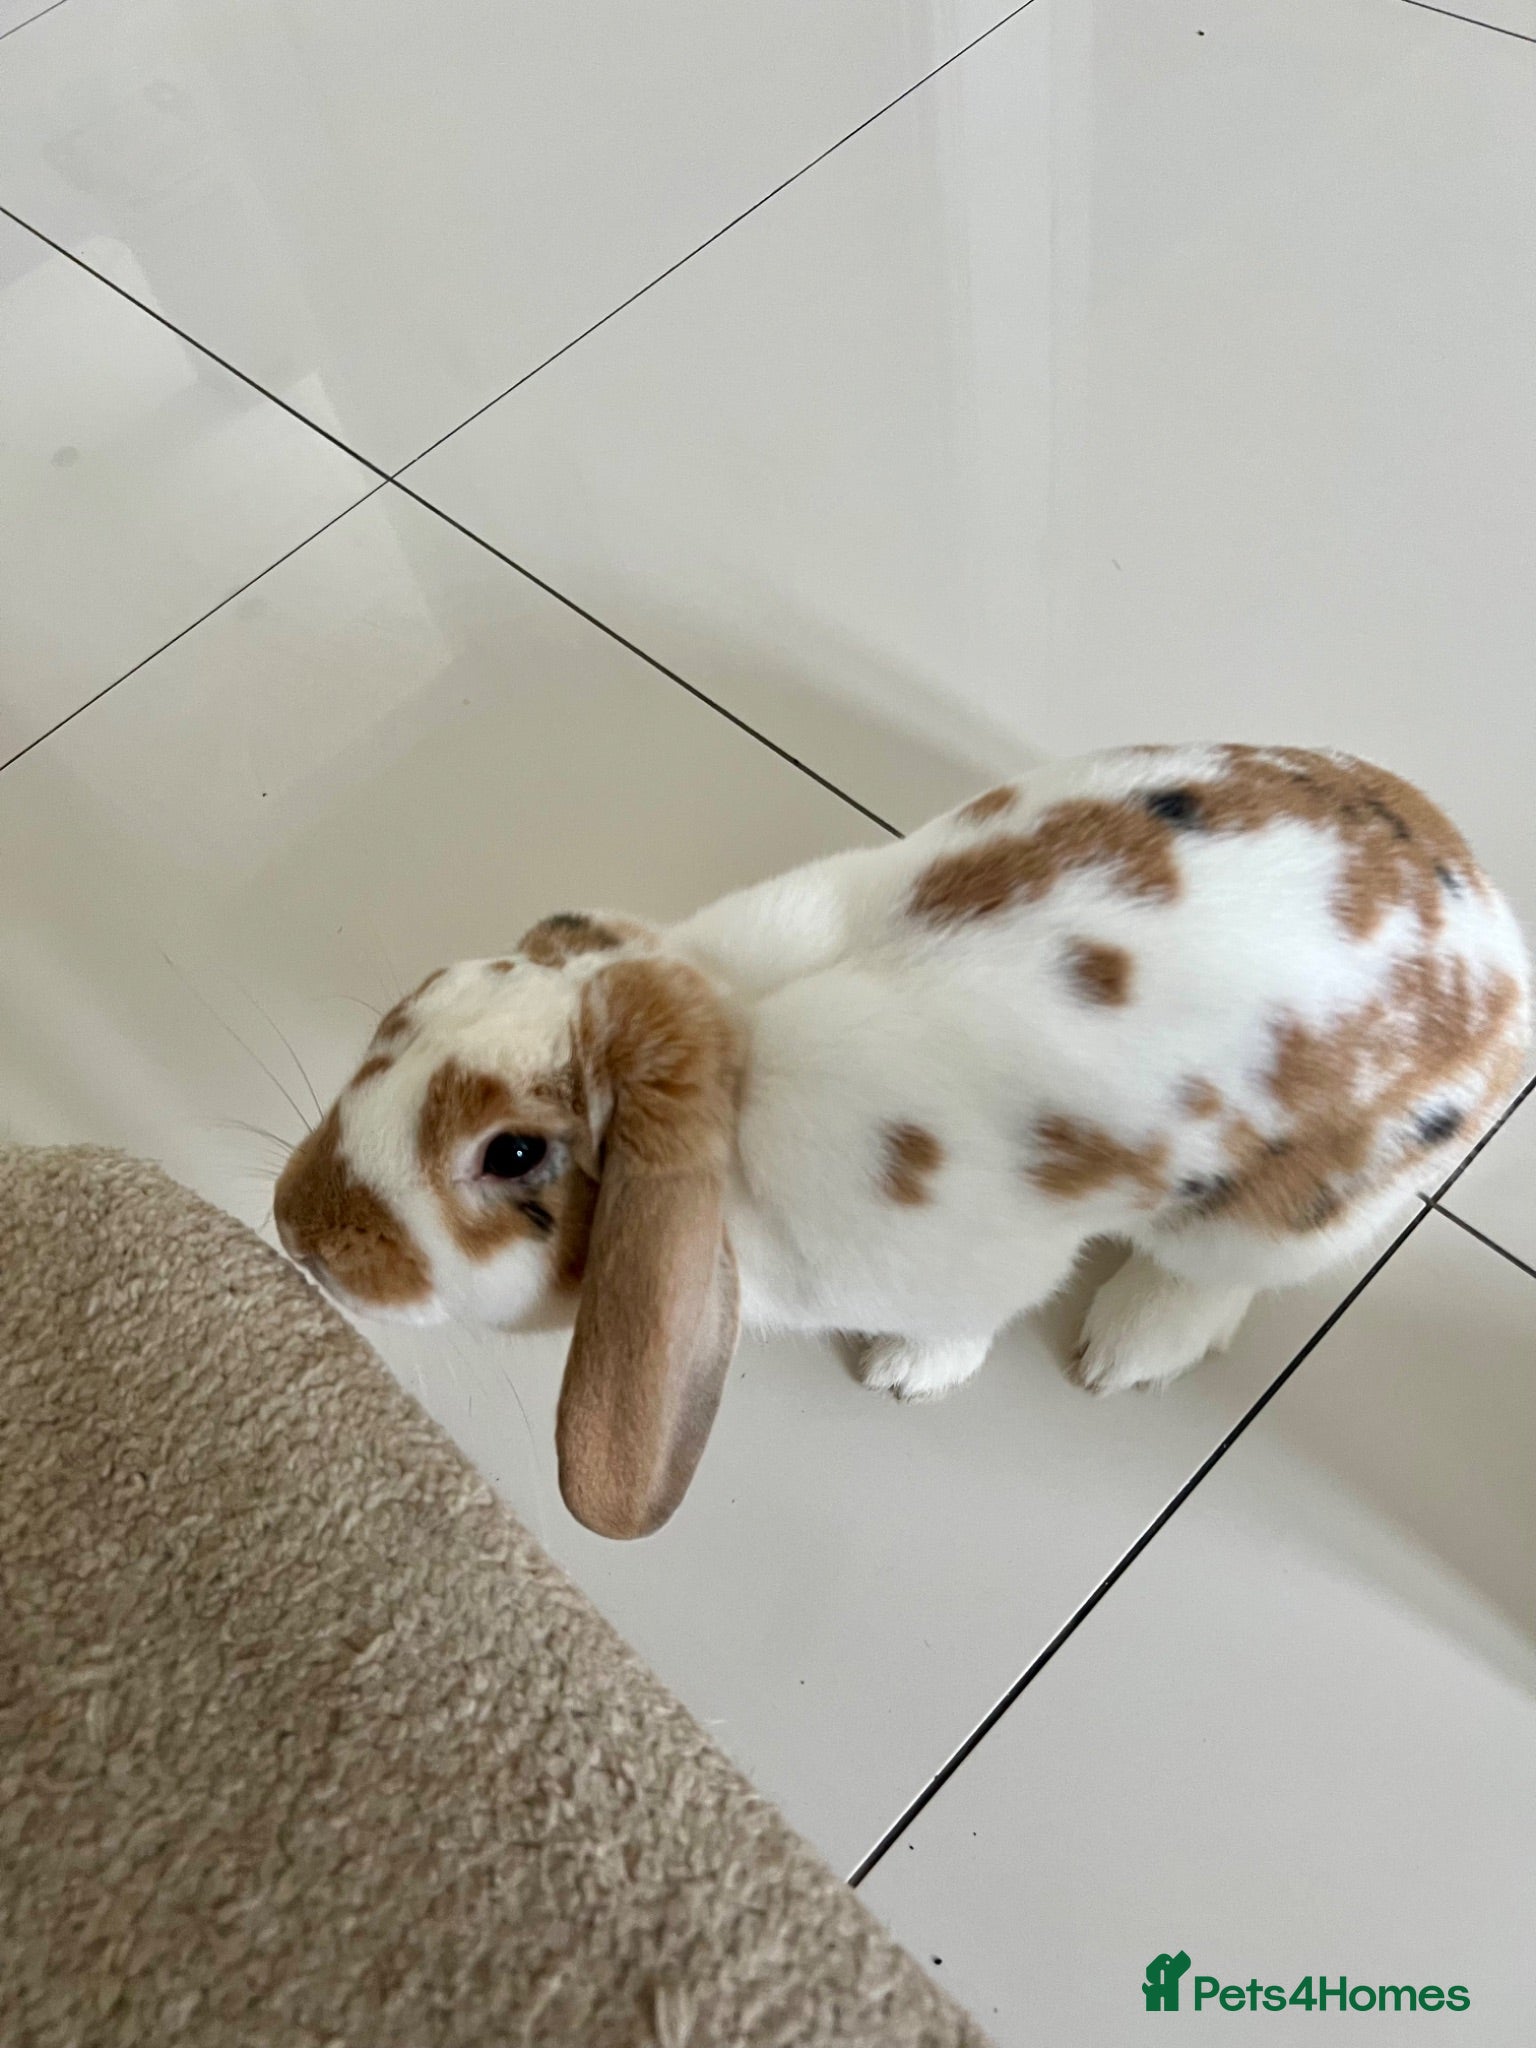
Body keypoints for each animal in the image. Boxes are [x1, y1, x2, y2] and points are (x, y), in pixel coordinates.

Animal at [274, 744, 1530, 1539]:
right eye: (413, 1004)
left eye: (513, 1154)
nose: (298, 1227)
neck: (737, 1051)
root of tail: (1498, 953)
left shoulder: (975, 1267)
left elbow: (961, 1322)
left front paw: (905, 1373)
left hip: (1273, 1216)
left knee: (1213, 1277)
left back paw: (1128, 1346)